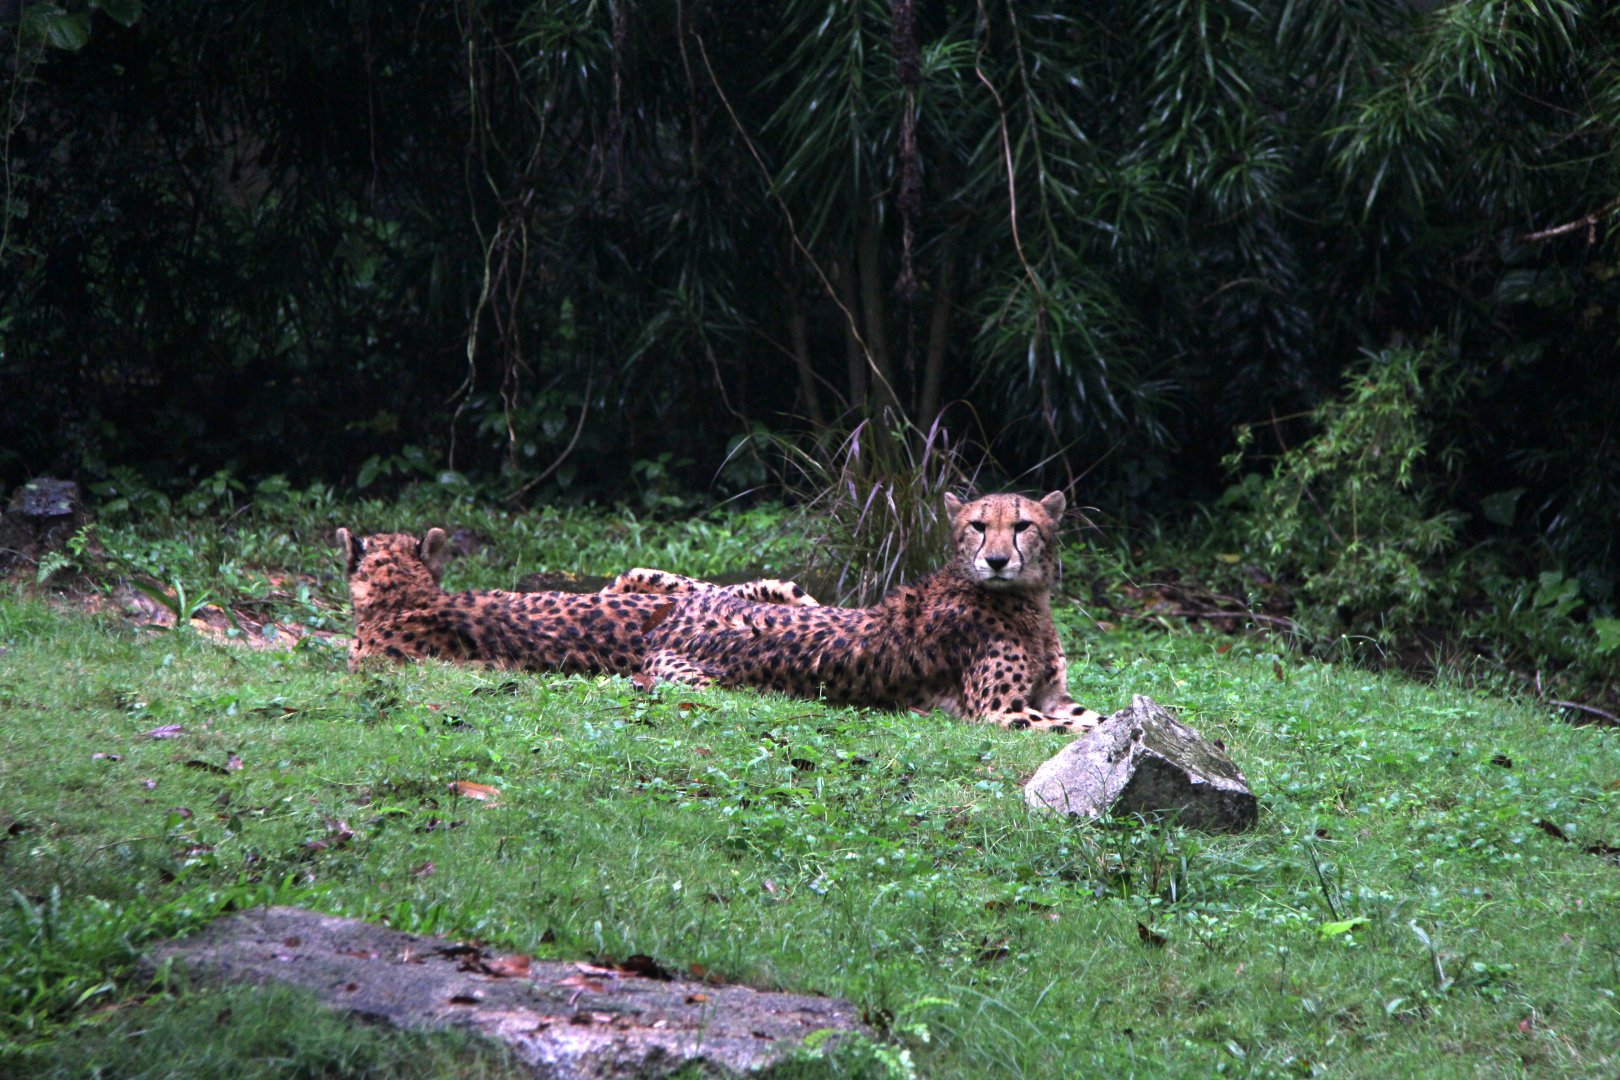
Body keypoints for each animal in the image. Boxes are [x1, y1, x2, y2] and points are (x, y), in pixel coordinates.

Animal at [638, 491, 1106, 732]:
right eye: (978, 526)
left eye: (1022, 526)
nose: (996, 561)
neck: (1026, 601)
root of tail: (672, 615)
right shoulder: (999, 711)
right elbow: (1085, 729)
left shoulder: (1054, 698)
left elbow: (1101, 718)